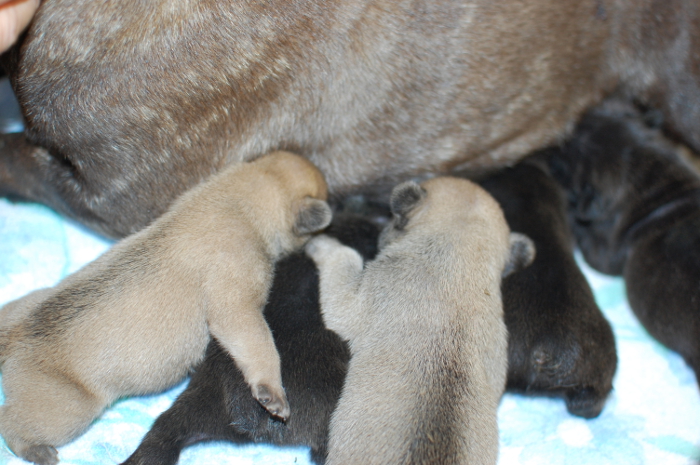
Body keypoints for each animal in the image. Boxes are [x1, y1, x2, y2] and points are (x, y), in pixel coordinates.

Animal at [0, 150, 334, 462]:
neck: (239, 194)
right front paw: (273, 392)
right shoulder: (237, 302)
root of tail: (15, 337)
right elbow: (258, 343)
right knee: (12, 420)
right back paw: (34, 450)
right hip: (70, 407)